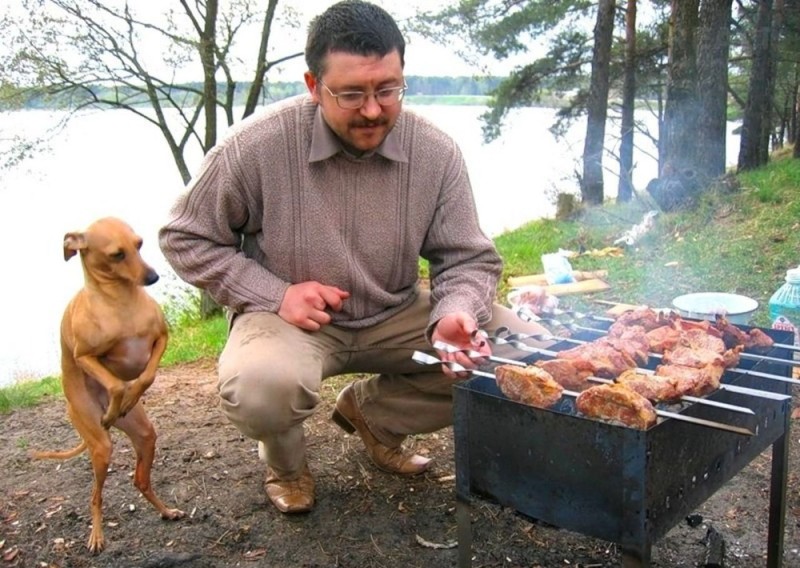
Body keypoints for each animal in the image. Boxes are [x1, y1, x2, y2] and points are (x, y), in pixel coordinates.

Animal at [32, 219, 183, 556]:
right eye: (116, 254)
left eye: (139, 244)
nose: (152, 277)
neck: (121, 304)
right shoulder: (85, 357)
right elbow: (115, 385)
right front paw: (117, 403)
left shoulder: (161, 340)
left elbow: (145, 377)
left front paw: (130, 396)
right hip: (100, 445)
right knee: (95, 496)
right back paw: (96, 535)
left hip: (145, 435)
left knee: (140, 481)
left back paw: (166, 511)